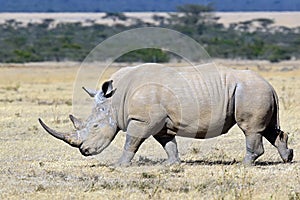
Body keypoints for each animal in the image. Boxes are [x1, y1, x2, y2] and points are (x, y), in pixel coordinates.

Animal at [38, 63, 292, 166]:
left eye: (95, 127)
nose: (84, 151)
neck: (114, 101)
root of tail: (270, 84)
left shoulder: (142, 120)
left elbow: (131, 141)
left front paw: (119, 165)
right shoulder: (159, 122)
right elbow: (168, 143)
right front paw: (172, 163)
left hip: (250, 91)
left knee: (251, 129)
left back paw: (245, 164)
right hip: (254, 91)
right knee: (269, 129)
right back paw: (287, 158)